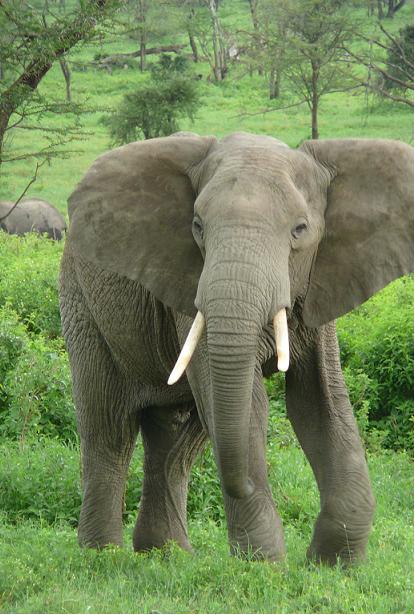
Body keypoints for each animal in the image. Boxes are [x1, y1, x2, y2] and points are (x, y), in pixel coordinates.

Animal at [60, 132, 414, 564]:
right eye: (197, 226)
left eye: (300, 229)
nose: (242, 484)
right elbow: (246, 407)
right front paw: (264, 565)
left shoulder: (320, 283)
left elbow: (320, 402)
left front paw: (333, 565)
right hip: (82, 303)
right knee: (109, 427)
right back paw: (103, 556)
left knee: (175, 439)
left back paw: (168, 556)